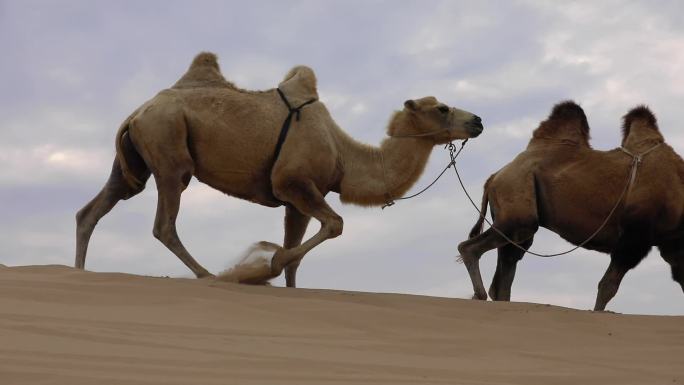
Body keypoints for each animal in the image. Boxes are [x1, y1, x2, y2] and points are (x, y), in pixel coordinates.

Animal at [75, 51, 484, 284]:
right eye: (442, 108)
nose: (478, 120)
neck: (343, 154)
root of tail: (137, 112)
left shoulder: (296, 201)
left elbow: (296, 260)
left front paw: (277, 272)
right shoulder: (293, 182)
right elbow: (332, 227)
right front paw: (260, 263)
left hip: (134, 161)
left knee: (93, 209)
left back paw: (78, 271)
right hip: (169, 148)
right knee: (164, 223)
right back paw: (208, 275)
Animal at [454, 101, 684, 308]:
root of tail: (494, 177)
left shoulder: (672, 241)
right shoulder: (635, 235)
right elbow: (607, 286)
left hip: (516, 214)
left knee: (506, 267)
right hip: (517, 205)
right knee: (471, 248)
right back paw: (479, 295)